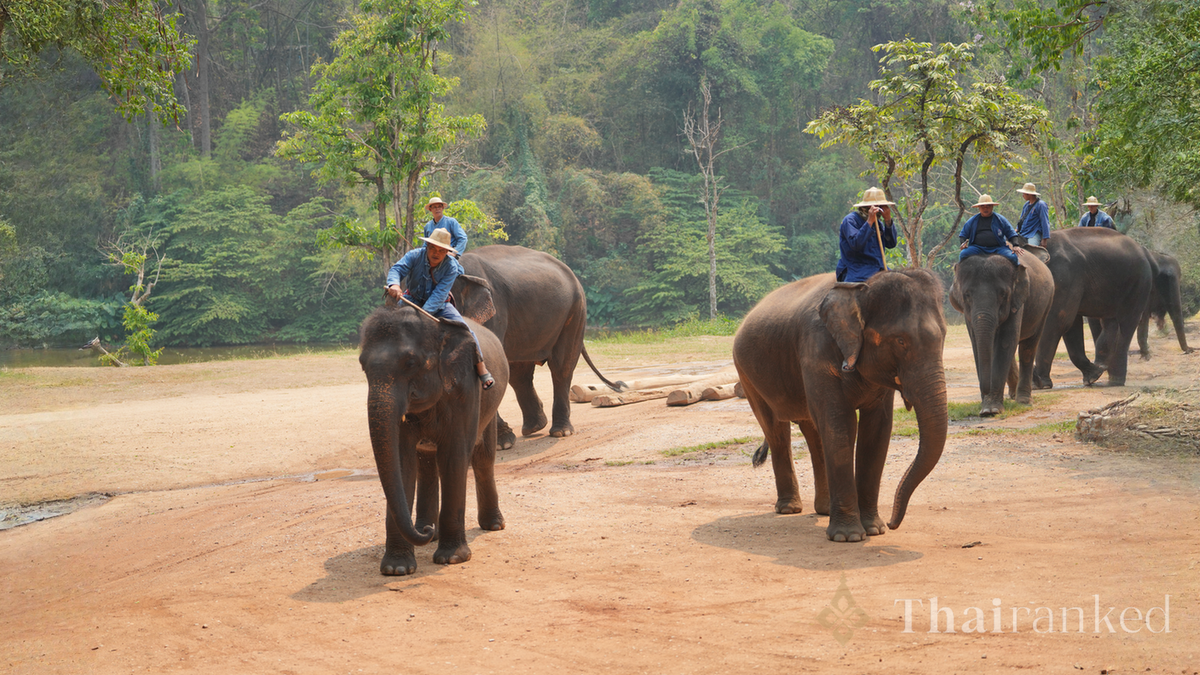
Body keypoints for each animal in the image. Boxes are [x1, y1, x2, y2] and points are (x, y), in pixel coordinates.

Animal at [359, 301, 510, 576]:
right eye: (362, 365)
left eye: (410, 362)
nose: (426, 533)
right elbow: (401, 461)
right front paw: (397, 569)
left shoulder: (465, 386)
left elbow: (454, 455)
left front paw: (453, 558)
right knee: (427, 464)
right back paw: (427, 529)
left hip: (490, 400)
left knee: (483, 458)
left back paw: (491, 526)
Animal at [451, 245, 621, 448]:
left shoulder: (492, 315)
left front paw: (501, 444)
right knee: (519, 372)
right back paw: (534, 427)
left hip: (575, 311)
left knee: (561, 367)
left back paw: (561, 432)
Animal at [732, 268, 949, 543]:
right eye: (901, 341)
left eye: (944, 336)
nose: (893, 523)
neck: (861, 289)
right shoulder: (816, 351)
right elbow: (840, 424)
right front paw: (849, 537)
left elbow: (877, 429)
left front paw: (874, 530)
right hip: (747, 375)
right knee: (776, 430)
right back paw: (789, 509)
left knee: (813, 432)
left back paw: (823, 510)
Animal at [949, 252, 1054, 415]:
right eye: (967, 295)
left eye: (1003, 294)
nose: (985, 390)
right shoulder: (968, 314)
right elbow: (977, 343)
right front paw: (986, 409)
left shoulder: (1017, 302)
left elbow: (1006, 342)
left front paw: (991, 410)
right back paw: (1014, 395)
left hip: (1046, 305)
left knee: (1028, 348)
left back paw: (1023, 401)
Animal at [1033, 227, 1154, 388]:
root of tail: (1142, 249)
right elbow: (1072, 325)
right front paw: (1092, 376)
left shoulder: (1065, 277)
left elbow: (1058, 321)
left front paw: (1039, 384)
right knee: (1112, 322)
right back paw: (1104, 370)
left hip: (1139, 283)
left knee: (1126, 323)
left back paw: (1115, 381)